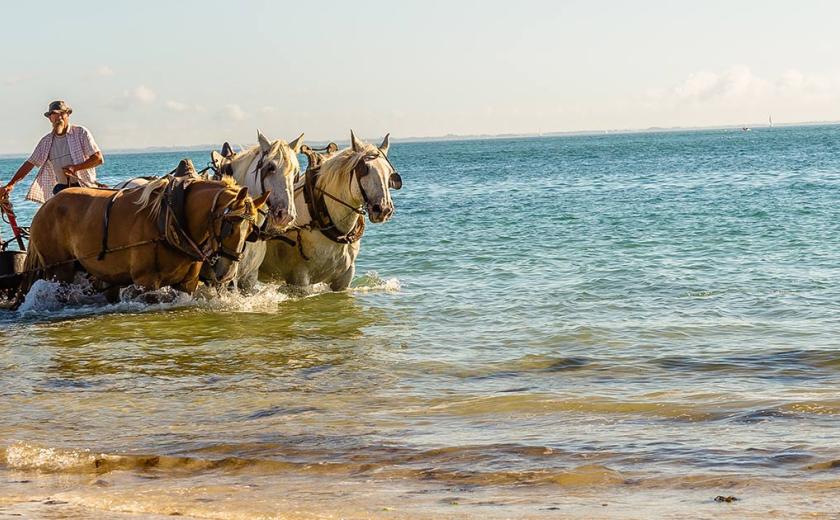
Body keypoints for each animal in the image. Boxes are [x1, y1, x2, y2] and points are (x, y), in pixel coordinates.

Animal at [22, 176, 266, 298]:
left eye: (251, 232)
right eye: (230, 226)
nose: (228, 272)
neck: (171, 219)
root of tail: (45, 206)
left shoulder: (188, 283)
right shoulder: (146, 282)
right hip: (59, 270)